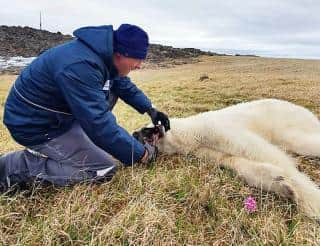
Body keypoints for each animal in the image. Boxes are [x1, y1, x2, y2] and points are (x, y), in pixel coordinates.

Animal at [134, 99, 320, 220]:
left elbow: (256, 149)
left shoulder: (212, 130)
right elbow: (234, 162)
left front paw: (312, 201)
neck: (189, 134)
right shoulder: (203, 149)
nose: (137, 134)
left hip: (286, 120)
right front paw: (282, 185)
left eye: (147, 128)